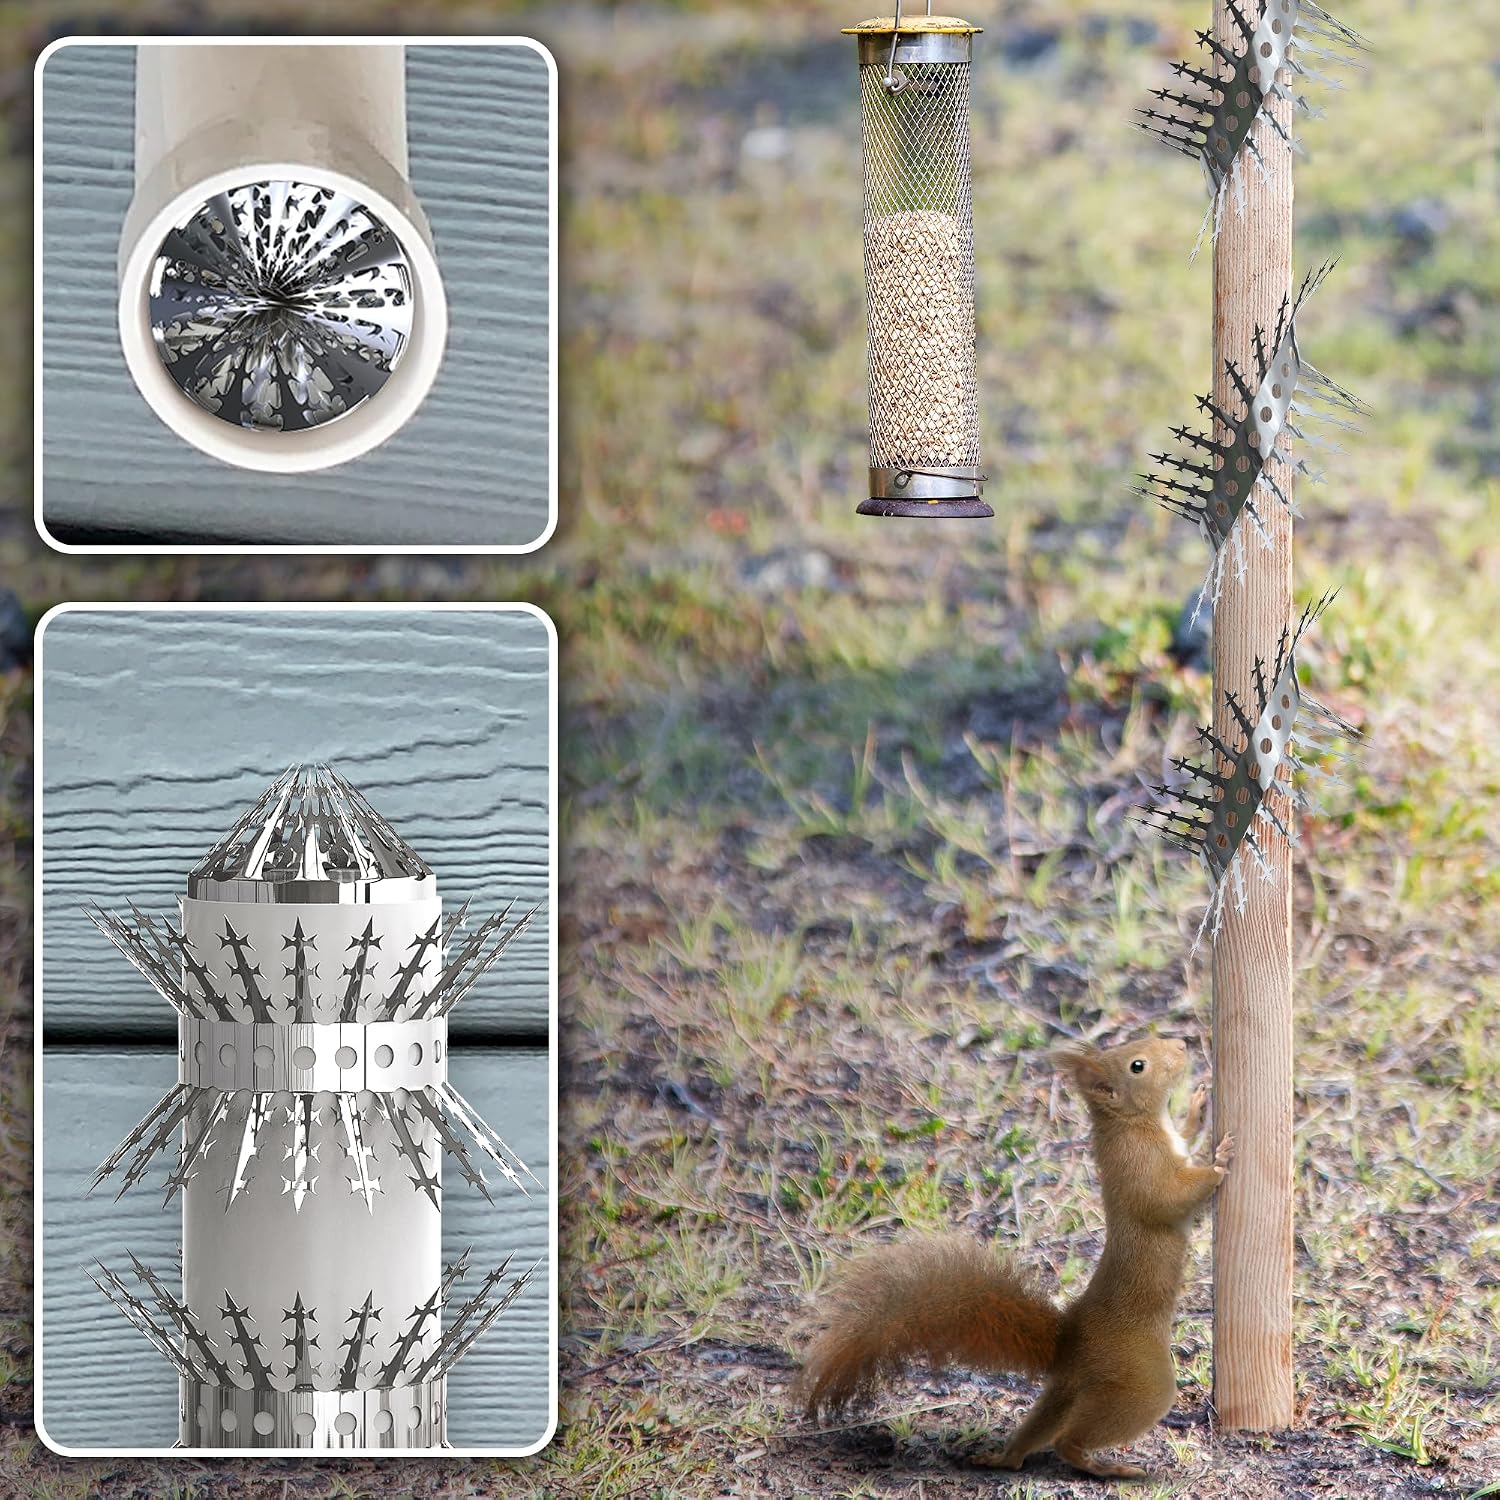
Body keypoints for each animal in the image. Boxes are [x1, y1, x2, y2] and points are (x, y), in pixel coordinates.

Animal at [798, 1036, 1234, 1481]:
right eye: (1137, 1065)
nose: (1180, 1045)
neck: (1134, 1123)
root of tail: (1069, 1343)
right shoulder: (1139, 1169)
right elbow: (1168, 1200)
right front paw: (1219, 1162)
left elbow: (1185, 1140)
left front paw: (1198, 1108)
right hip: (1141, 1382)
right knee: (1069, 1440)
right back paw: (1110, 1467)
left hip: (1068, 1390)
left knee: (1039, 1428)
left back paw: (1004, 1458)